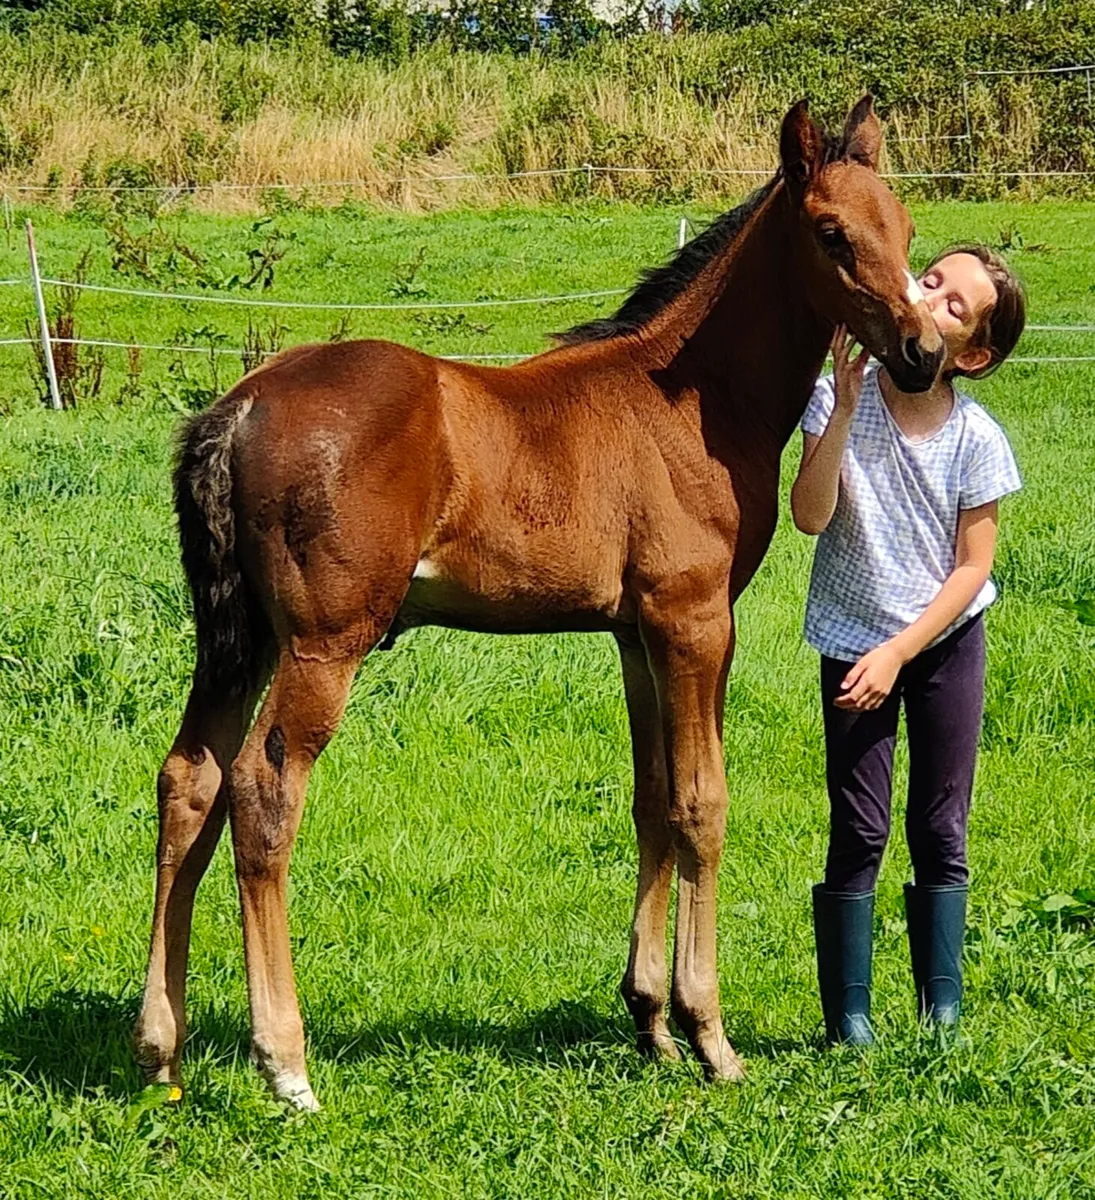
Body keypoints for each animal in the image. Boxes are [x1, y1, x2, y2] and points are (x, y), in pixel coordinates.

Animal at [133, 96, 943, 1110]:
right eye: (833, 234)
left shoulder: (633, 634)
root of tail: (238, 405)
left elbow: (650, 798)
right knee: (262, 790)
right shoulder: (693, 621)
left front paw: (649, 1021)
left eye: (904, 227)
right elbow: (701, 805)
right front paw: (709, 1035)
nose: (923, 353)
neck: (695, 401)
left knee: (188, 782)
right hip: (324, 640)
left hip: (233, 640)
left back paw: (159, 1048)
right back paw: (286, 1063)